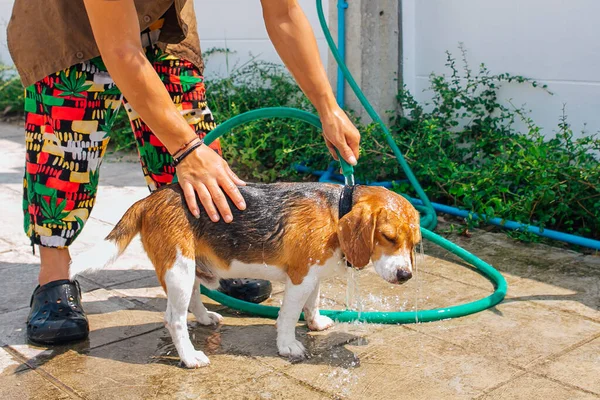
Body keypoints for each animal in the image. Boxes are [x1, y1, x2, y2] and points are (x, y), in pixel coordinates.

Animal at [70, 183, 420, 368]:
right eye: (388, 237)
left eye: (414, 243)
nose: (405, 275)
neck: (338, 210)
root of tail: (150, 199)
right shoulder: (300, 277)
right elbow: (288, 316)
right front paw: (288, 345)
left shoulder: (313, 274)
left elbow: (313, 302)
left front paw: (316, 322)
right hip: (179, 269)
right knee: (174, 319)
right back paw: (190, 356)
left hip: (189, 268)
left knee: (193, 300)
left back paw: (206, 318)